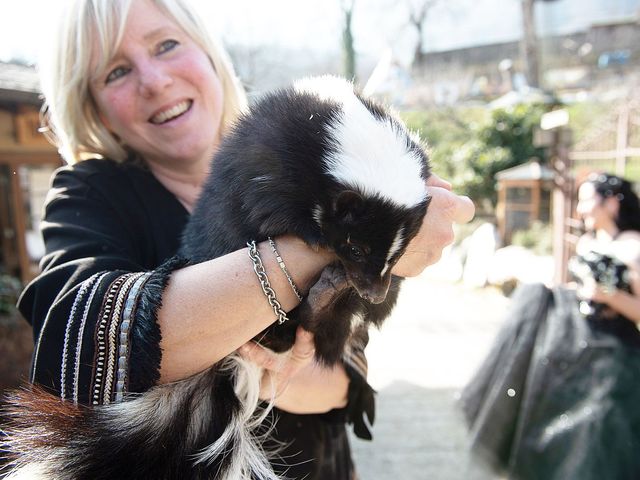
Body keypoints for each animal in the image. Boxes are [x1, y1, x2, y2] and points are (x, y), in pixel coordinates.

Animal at [1, 76, 430, 480]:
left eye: (400, 251)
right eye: (355, 247)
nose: (374, 291)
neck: (342, 125)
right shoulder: (274, 160)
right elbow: (270, 205)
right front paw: (313, 234)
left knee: (326, 329)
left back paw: (328, 297)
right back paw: (315, 303)